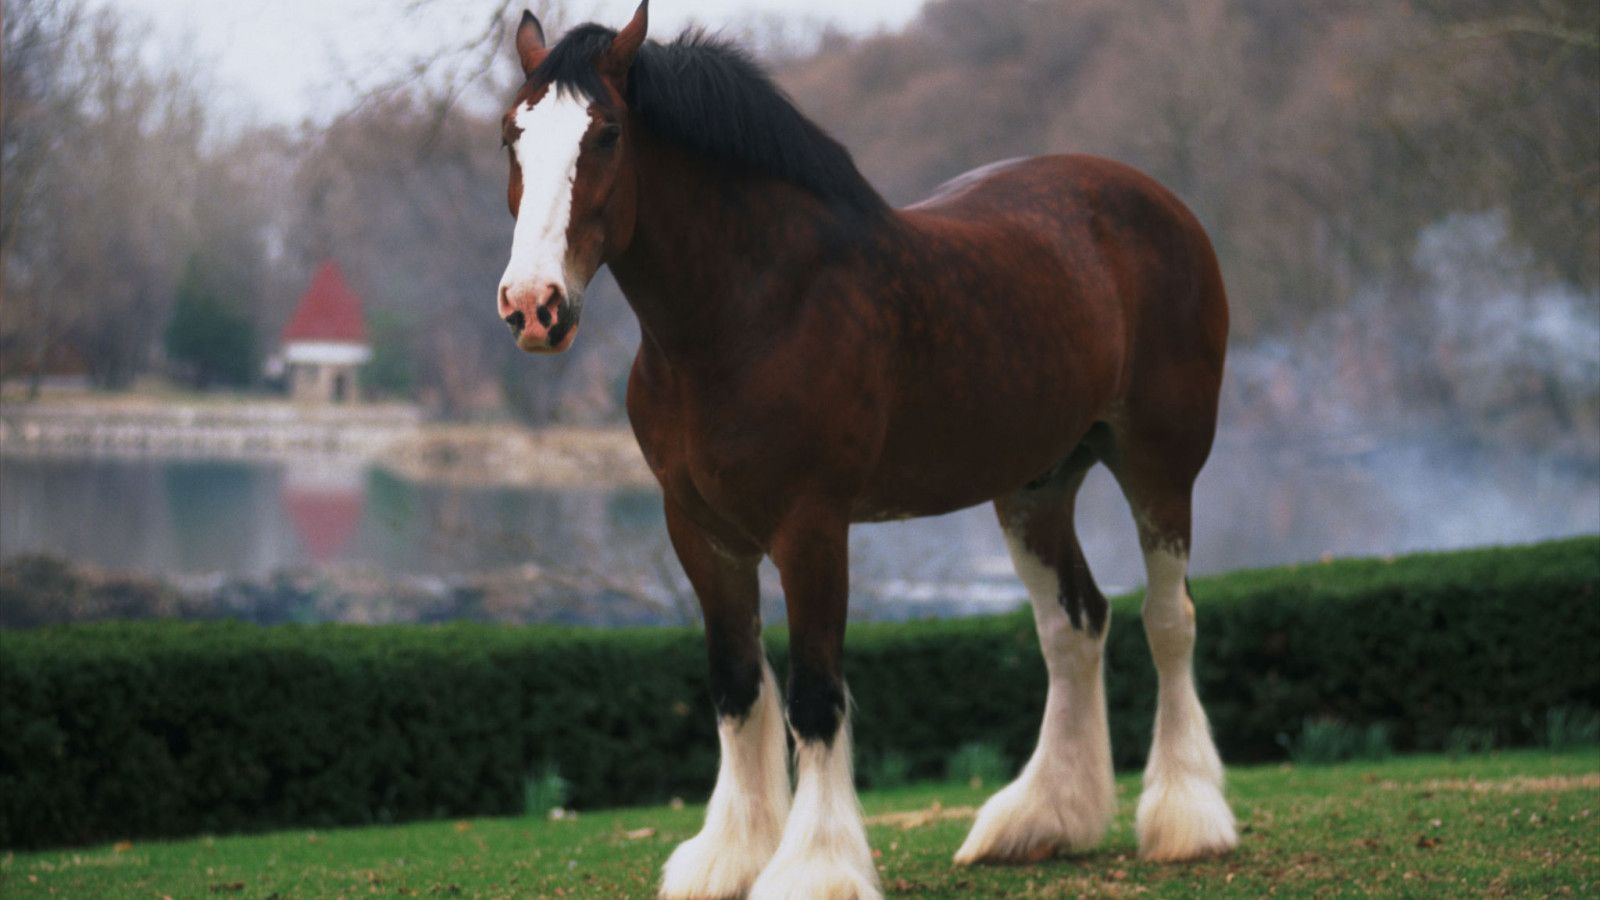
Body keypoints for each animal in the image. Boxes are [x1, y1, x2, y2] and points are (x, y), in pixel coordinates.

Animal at [496, 4, 1236, 897]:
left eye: (605, 134)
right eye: (511, 135)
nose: (533, 306)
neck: (750, 310)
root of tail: (1161, 203)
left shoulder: (811, 528)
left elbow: (815, 695)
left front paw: (814, 867)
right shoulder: (701, 531)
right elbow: (737, 685)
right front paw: (730, 856)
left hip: (1161, 463)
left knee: (1168, 618)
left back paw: (1186, 818)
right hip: (1035, 486)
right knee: (1074, 624)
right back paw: (1042, 819)